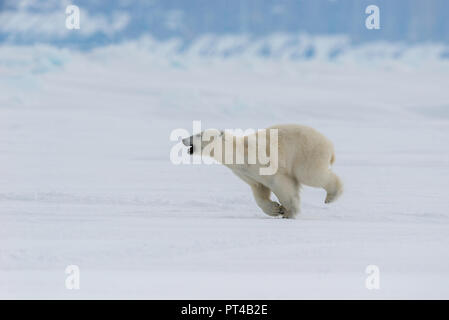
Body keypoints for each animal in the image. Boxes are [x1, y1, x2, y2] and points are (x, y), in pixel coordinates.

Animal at [182, 124, 344, 219]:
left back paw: (331, 196)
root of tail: (329, 145)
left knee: (312, 174)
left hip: (307, 152)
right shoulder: (246, 172)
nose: (183, 139)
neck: (237, 153)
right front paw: (276, 209)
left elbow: (281, 184)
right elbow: (259, 190)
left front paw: (290, 212)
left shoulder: (263, 162)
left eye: (198, 134)